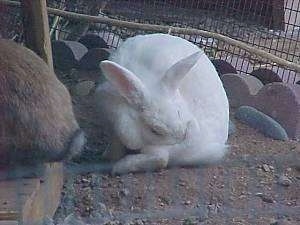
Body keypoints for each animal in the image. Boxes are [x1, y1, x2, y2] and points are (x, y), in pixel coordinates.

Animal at [95, 33, 229, 174]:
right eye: (155, 130)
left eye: (178, 112)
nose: (181, 136)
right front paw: (109, 155)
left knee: (161, 159)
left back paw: (119, 167)